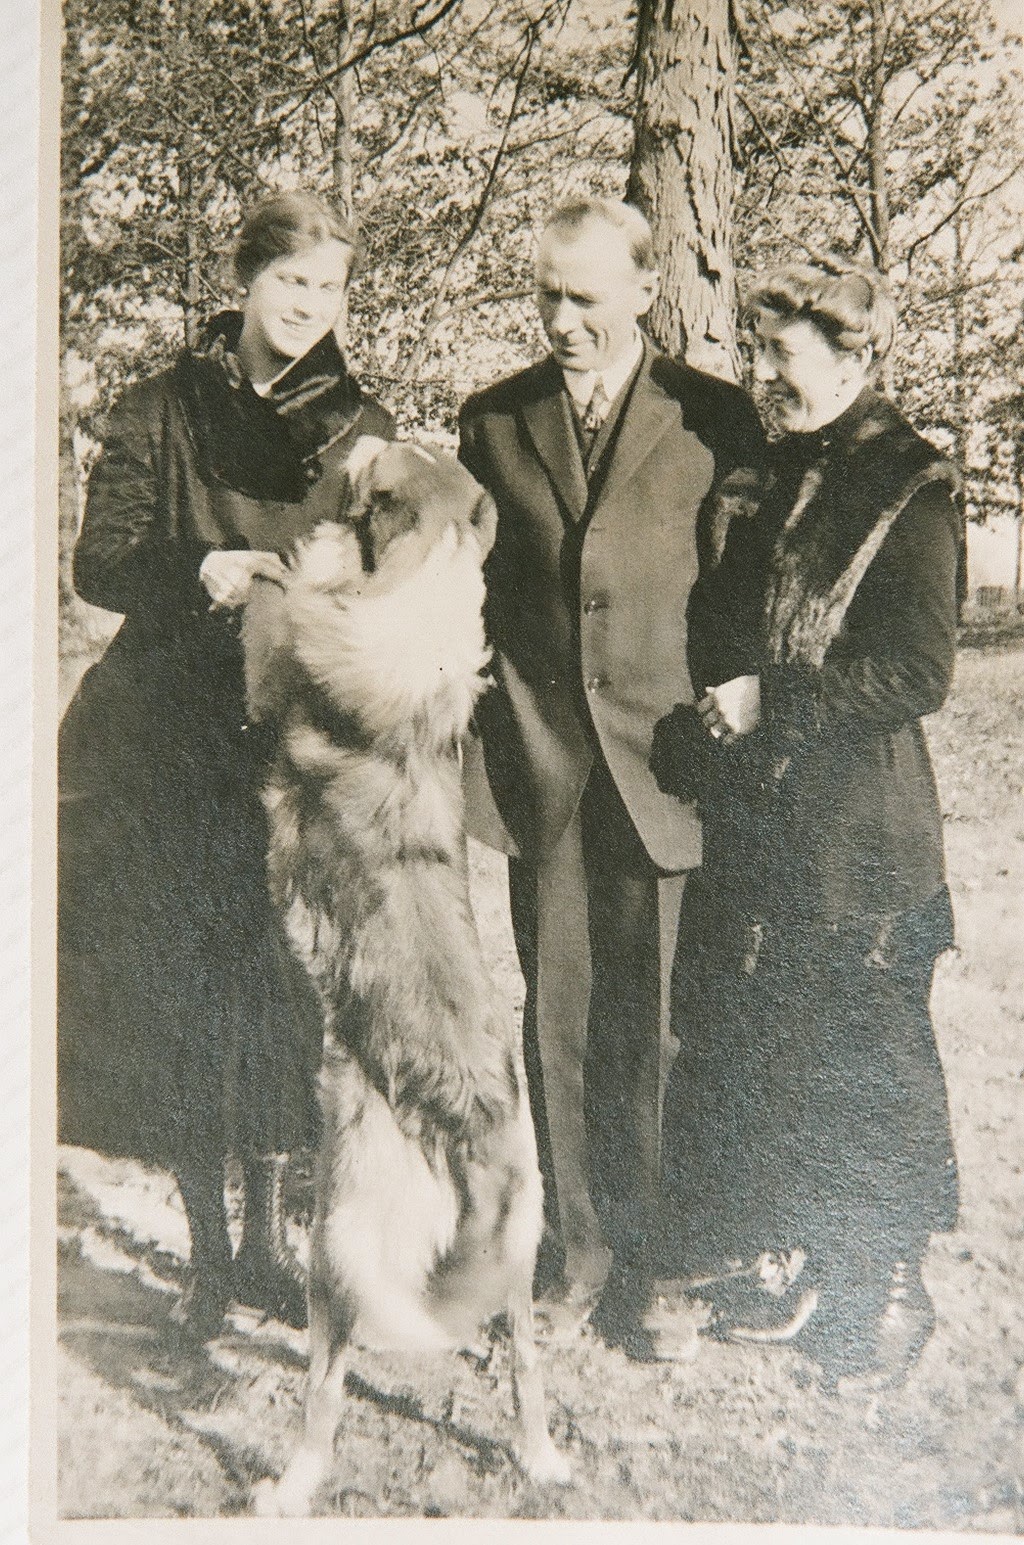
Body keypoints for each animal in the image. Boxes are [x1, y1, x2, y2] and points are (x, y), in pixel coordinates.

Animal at [243, 436, 570, 1515]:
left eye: (380, 468)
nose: (345, 441)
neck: (423, 586)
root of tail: (468, 1121)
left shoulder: (285, 659)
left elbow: (274, 592)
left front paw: (237, 567)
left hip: (340, 1235)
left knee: (326, 1385)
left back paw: (293, 1484)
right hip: (517, 1254)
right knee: (524, 1362)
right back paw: (540, 1457)